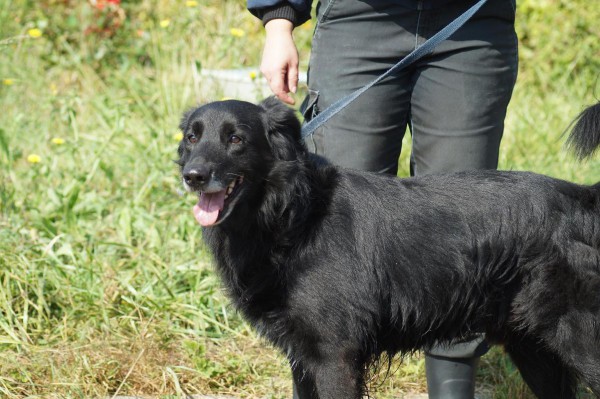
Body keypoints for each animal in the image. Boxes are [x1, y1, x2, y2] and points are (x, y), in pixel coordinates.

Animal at [177, 97, 600, 399]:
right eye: (192, 137)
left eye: (236, 139)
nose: (192, 176)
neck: (293, 214)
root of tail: (582, 197)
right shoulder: (303, 357)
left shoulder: (334, 356)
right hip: (533, 347)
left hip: (577, 339)